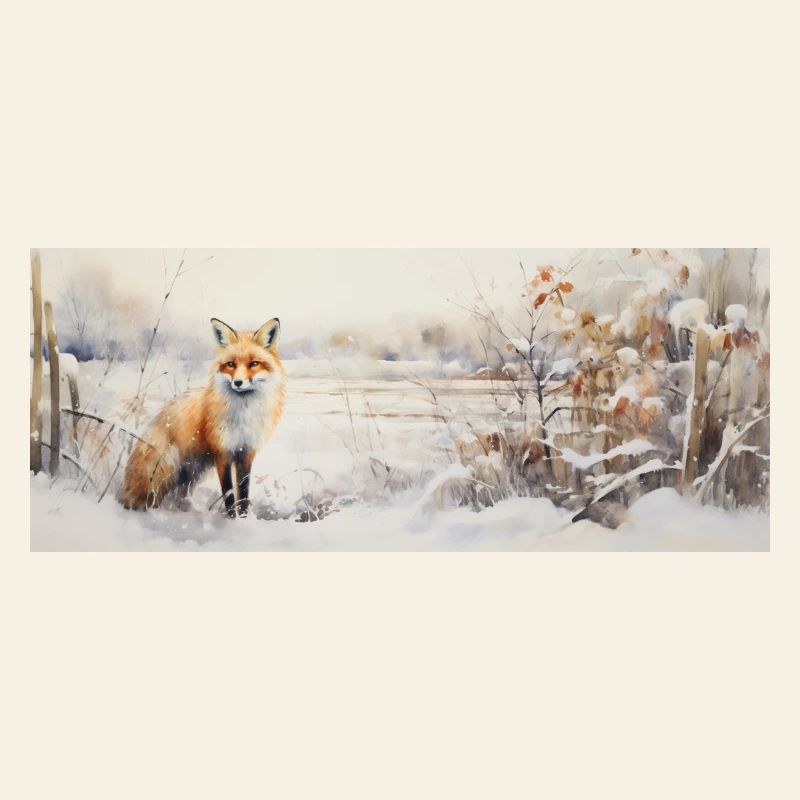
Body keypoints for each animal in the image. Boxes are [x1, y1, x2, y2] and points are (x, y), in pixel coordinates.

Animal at [120, 317, 286, 517]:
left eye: (254, 363)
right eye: (231, 364)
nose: (238, 382)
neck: (243, 415)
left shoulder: (246, 452)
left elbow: (243, 491)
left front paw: (244, 517)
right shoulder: (222, 452)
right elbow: (229, 493)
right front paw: (232, 519)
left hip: (194, 470)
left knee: (180, 493)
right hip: (169, 466)